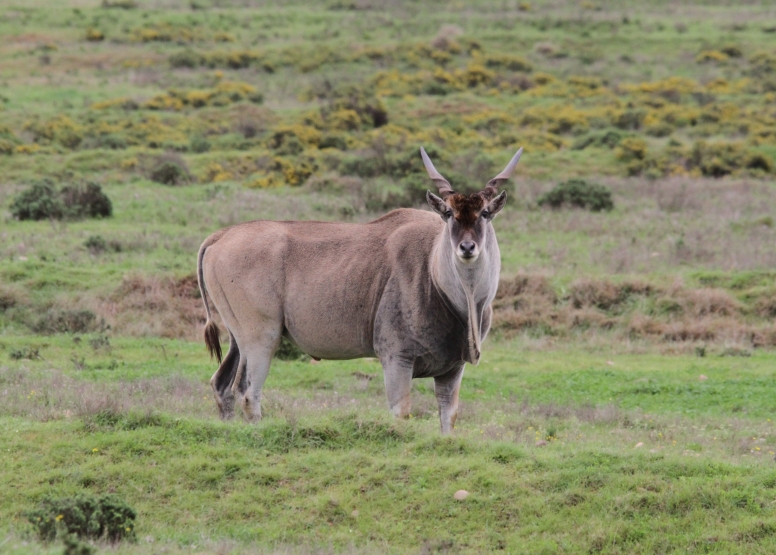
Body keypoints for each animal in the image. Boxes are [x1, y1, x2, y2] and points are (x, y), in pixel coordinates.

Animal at [196, 148, 520, 434]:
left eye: (485, 213)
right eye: (450, 214)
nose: (467, 247)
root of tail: (219, 236)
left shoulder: (452, 369)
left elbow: (447, 418)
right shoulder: (396, 360)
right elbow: (401, 413)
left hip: (238, 339)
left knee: (222, 385)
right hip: (261, 339)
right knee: (248, 394)